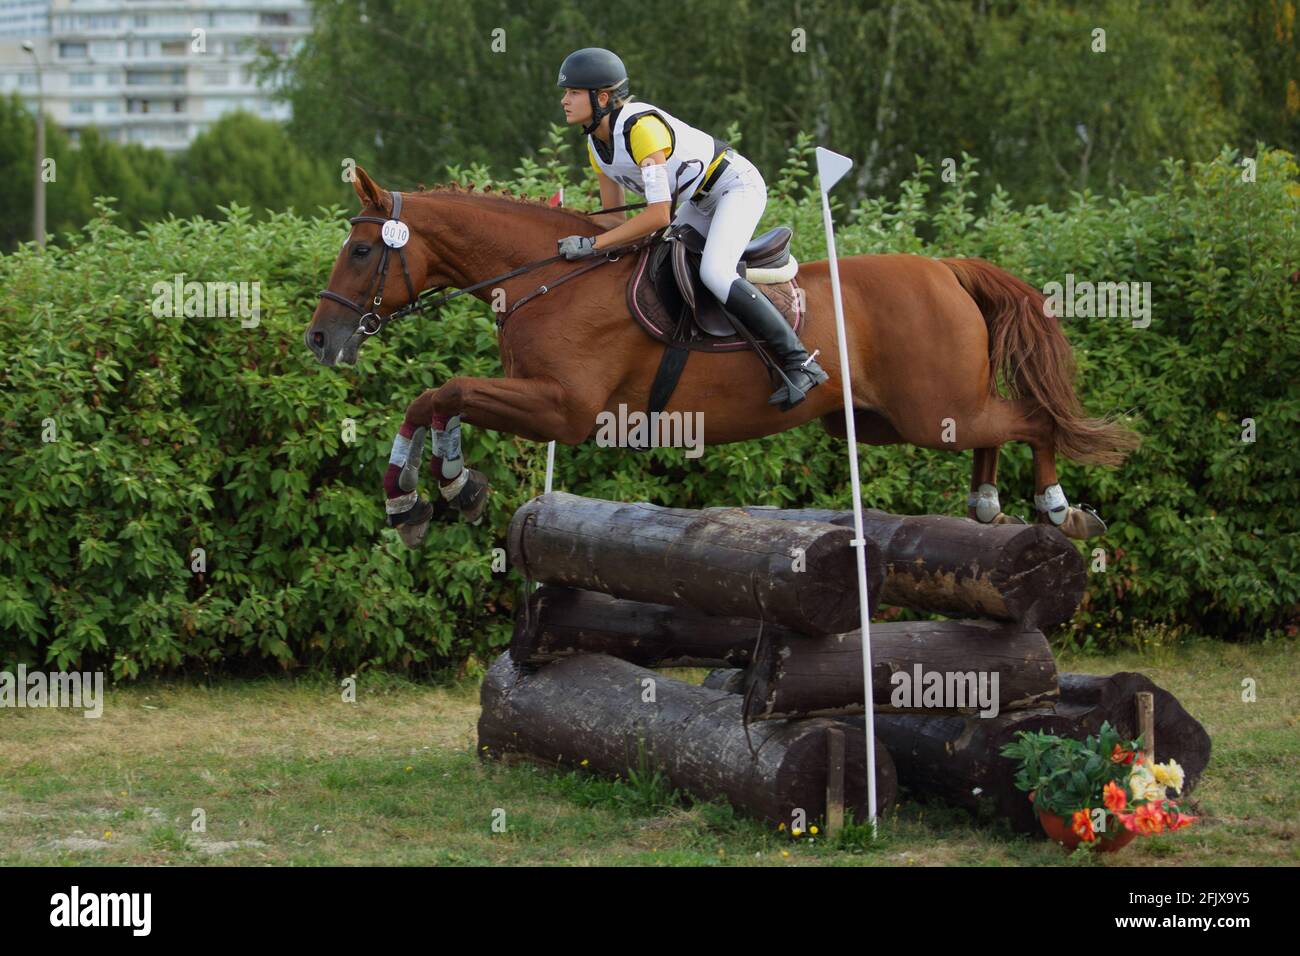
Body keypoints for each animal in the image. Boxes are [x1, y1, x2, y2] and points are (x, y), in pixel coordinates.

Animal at [304, 169, 1138, 541]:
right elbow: (441, 400)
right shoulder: (535, 399)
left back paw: (1055, 506)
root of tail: (946, 267)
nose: (318, 339)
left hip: (932, 410)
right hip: (889, 421)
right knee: (995, 429)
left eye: (358, 251)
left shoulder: (563, 409)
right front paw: (444, 489)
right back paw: (987, 502)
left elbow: (439, 391)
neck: (545, 277)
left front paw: (421, 494)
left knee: (1032, 419)